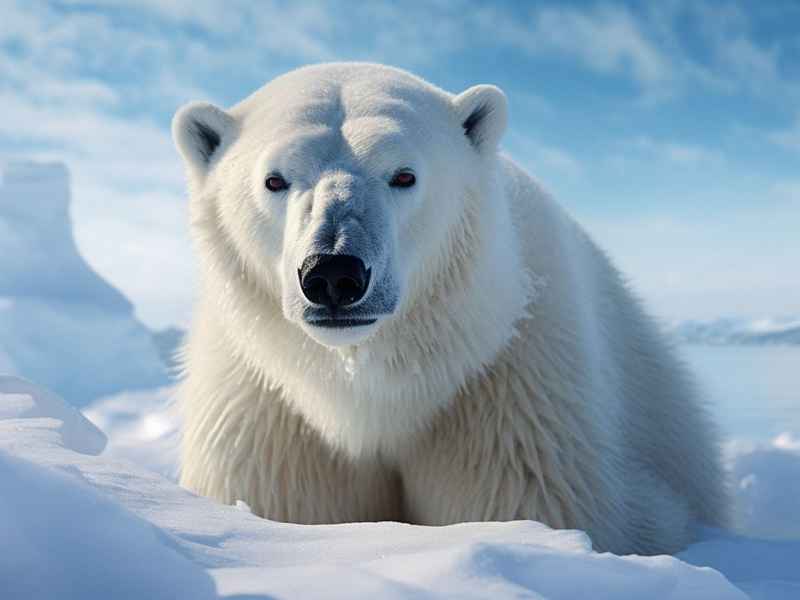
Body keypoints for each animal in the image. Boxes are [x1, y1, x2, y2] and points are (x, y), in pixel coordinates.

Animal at [172, 63, 727, 555]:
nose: (332, 273)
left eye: (403, 175)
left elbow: (530, 505)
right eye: (274, 180)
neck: (372, 392)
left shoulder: (509, 397)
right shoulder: (266, 418)